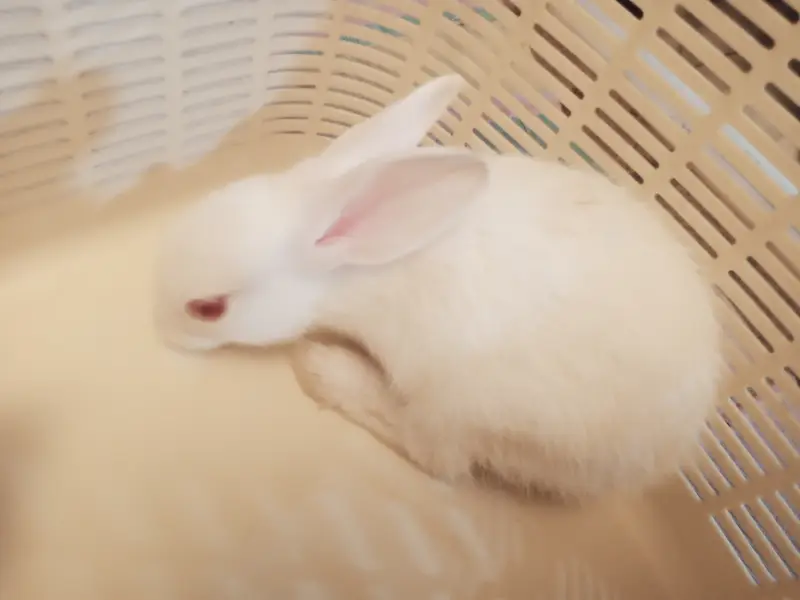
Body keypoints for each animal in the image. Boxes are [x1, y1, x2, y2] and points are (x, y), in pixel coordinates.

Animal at [153, 73, 723, 501]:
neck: (358, 266)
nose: (160, 331)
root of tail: (664, 450)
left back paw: (324, 368)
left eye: (208, 308)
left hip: (459, 403)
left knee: (434, 455)